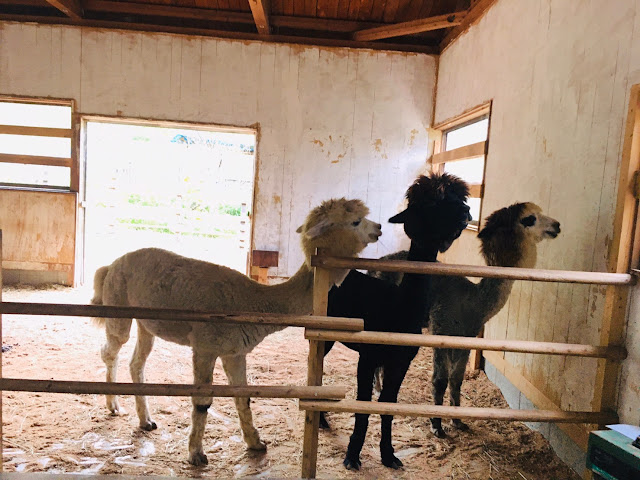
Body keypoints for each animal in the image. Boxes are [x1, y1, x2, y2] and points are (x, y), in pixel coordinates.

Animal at [91, 197, 382, 466]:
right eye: (356, 221)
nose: (378, 227)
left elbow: (244, 397)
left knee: (136, 363)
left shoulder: (234, 351)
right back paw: (113, 405)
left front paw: (256, 443)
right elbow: (202, 402)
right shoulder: (205, 346)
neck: (252, 301)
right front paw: (196, 454)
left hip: (147, 323)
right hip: (118, 305)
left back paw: (146, 420)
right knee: (110, 350)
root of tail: (112, 264)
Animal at [323, 173, 472, 470]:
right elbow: (363, 405)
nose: (466, 213)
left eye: (457, 198)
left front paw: (389, 455)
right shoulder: (368, 357)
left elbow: (388, 405)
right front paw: (352, 456)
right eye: (432, 204)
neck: (399, 309)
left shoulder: (401, 361)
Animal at [368, 202, 561, 438]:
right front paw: (437, 425)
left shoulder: (465, 338)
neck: (472, 302)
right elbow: (440, 380)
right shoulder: (440, 330)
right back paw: (377, 390)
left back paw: (379, 387)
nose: (556, 225)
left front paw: (458, 421)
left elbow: (456, 379)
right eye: (529, 219)